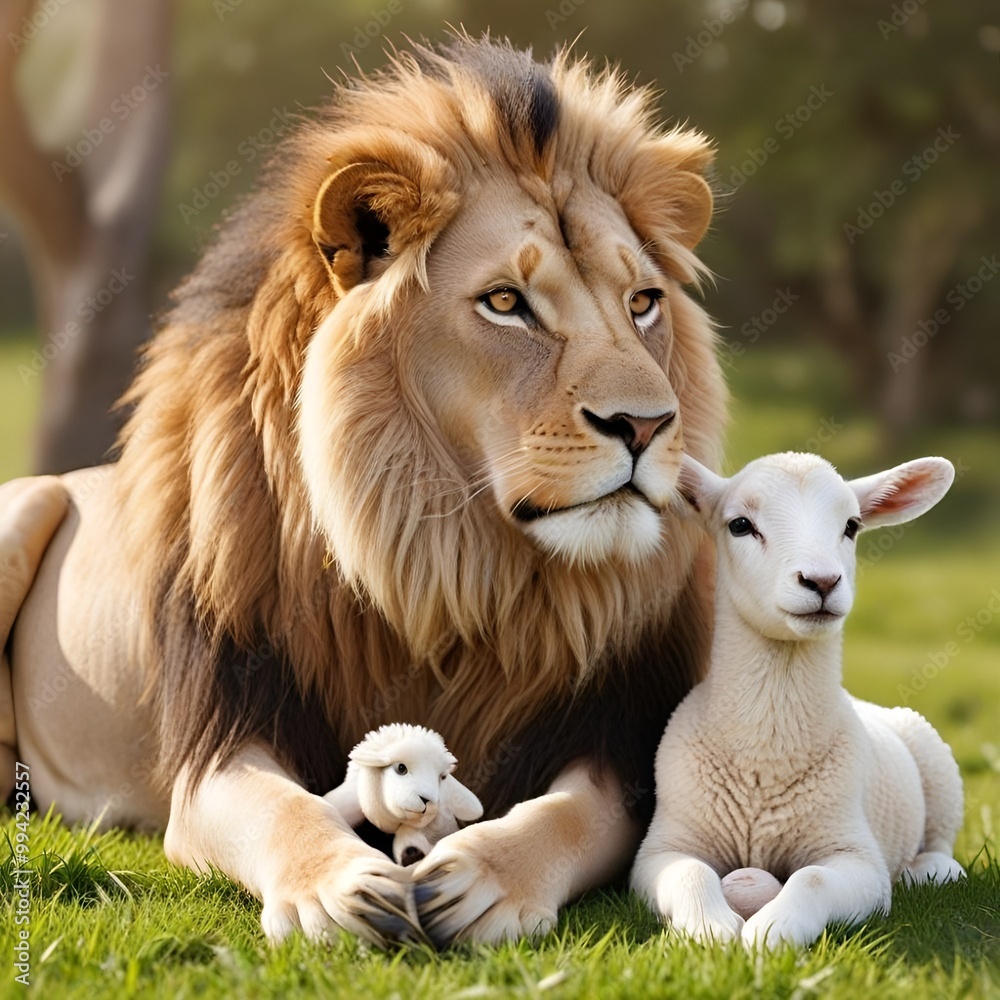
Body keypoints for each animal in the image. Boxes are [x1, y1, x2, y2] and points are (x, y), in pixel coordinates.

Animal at [0, 35, 726, 947]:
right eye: (505, 302)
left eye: (643, 303)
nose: (647, 424)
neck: (438, 560)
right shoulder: (218, 744)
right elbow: (282, 809)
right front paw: (336, 888)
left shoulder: (618, 743)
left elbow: (570, 814)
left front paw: (484, 878)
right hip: (24, 506)